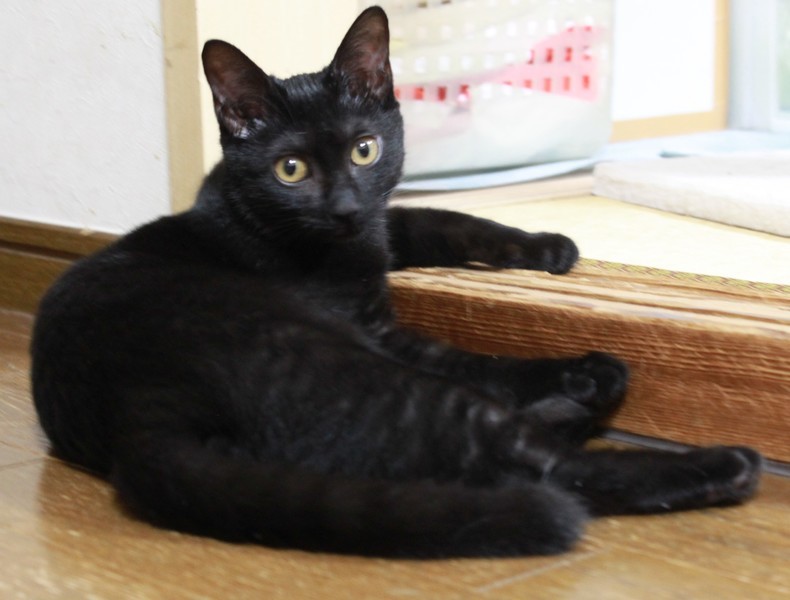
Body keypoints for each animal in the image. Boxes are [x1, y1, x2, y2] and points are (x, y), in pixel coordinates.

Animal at [31, 6, 762, 558]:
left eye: (365, 150)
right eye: (291, 169)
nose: (344, 209)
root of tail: (137, 411)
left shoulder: (388, 222)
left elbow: (444, 217)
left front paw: (551, 247)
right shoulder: (376, 330)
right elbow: (482, 361)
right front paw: (581, 365)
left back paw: (575, 411)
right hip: (347, 366)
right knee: (537, 461)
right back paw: (711, 459)